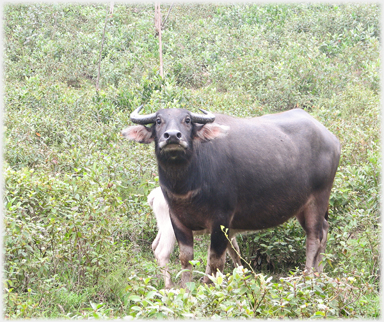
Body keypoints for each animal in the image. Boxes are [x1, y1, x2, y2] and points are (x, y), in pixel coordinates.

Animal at [122, 106, 340, 286]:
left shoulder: (221, 221)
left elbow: (215, 261)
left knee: (314, 238)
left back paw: (309, 276)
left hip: (319, 198)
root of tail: (331, 139)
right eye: (158, 121)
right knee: (324, 230)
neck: (188, 186)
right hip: (302, 206)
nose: (173, 136)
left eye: (187, 120)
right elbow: (186, 259)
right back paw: (319, 272)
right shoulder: (177, 221)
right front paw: (185, 290)